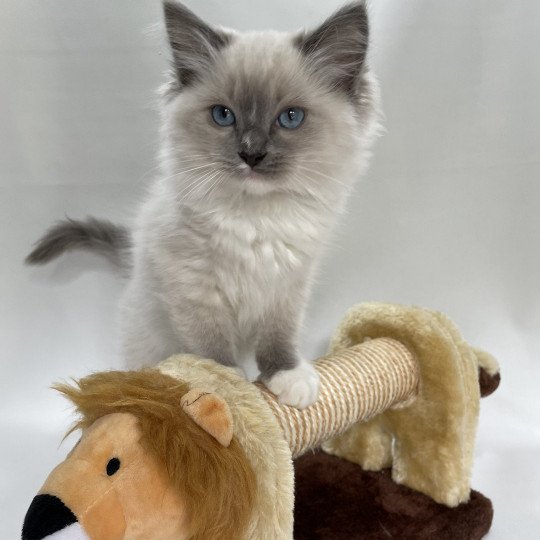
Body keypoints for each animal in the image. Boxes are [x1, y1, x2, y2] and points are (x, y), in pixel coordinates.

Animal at [25, 0, 380, 404]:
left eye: (290, 118)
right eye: (223, 115)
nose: (251, 154)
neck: (256, 218)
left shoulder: (287, 284)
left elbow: (279, 336)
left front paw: (288, 377)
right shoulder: (194, 287)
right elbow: (212, 349)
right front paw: (227, 388)